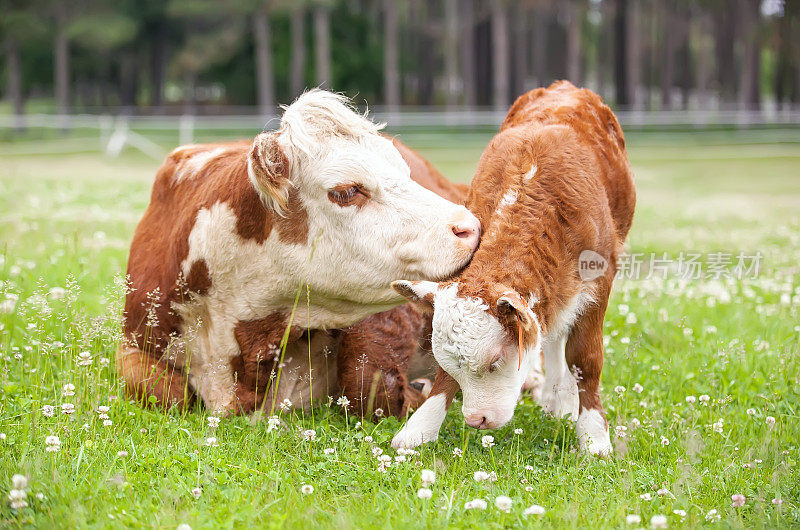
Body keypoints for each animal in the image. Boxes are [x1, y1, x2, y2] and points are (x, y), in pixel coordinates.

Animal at [119, 88, 482, 414]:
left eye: (406, 173)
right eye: (347, 190)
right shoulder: (132, 339)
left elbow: (368, 383)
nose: (470, 227)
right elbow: (165, 391)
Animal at [390, 81, 636, 454]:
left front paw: (594, 436)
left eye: (494, 362)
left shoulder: (598, 281)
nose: (476, 419)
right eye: (450, 363)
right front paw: (420, 429)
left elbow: (585, 358)